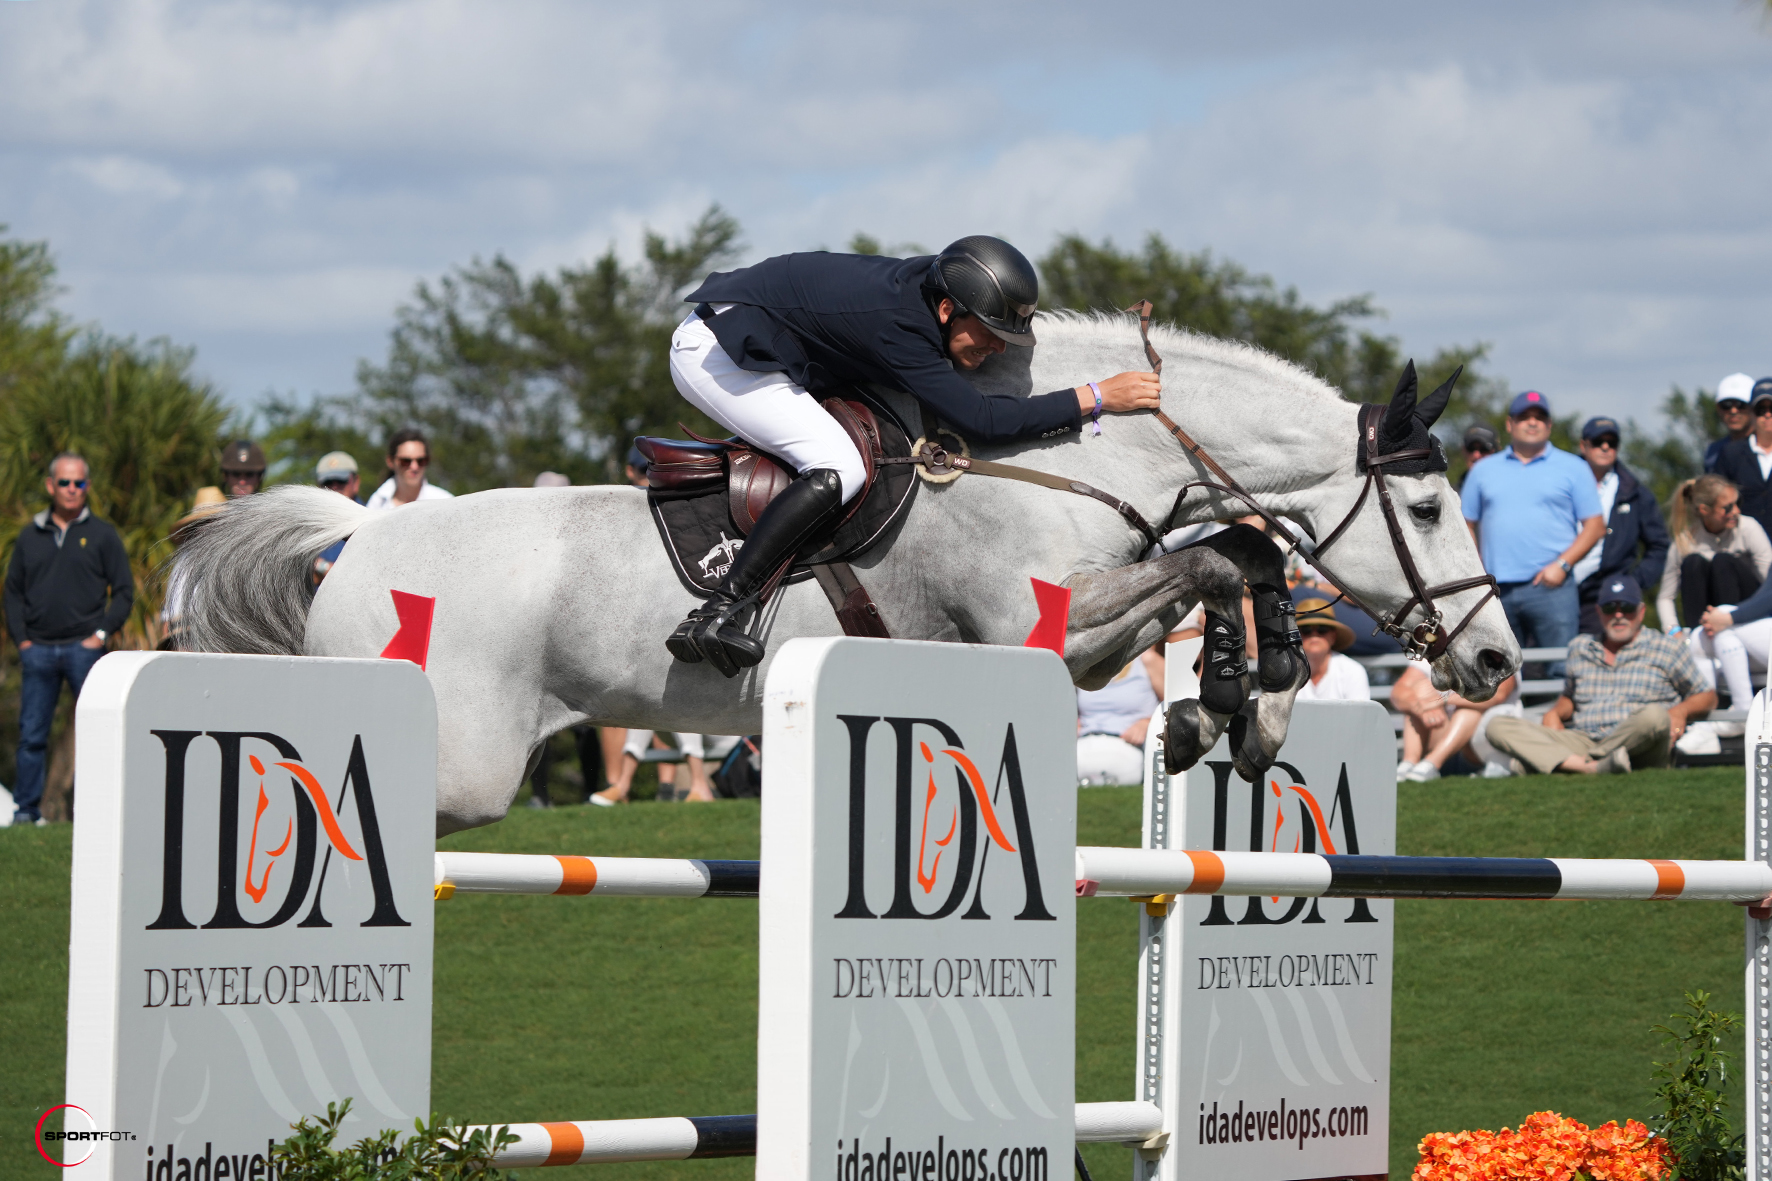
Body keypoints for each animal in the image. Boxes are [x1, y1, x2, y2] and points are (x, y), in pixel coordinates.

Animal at [172, 312, 1516, 826]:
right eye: (1428, 502)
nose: (1498, 662)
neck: (1068, 451)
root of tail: (357, 539)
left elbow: (1228, 552)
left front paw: (1238, 703)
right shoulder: (1053, 633)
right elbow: (1217, 561)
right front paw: (1237, 702)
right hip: (462, 760)